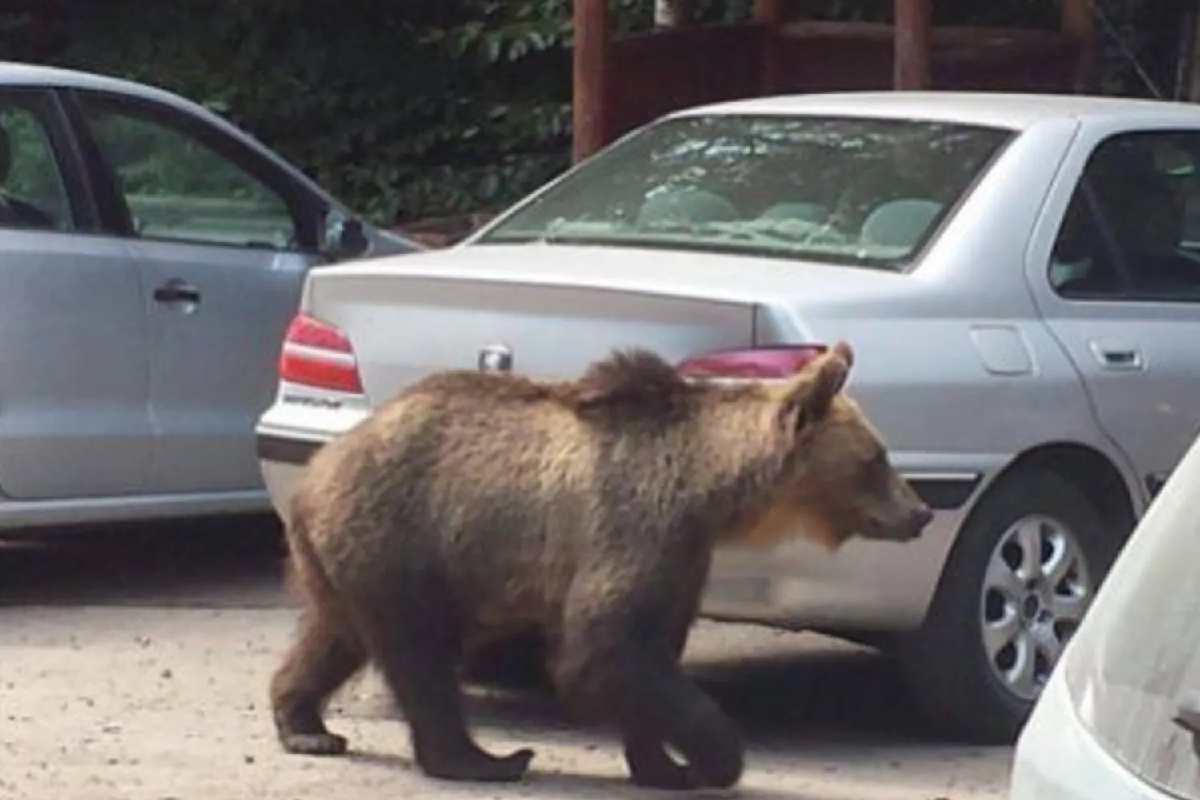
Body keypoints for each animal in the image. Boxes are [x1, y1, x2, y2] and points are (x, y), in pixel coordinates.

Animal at [270, 340, 926, 791]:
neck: (709, 489)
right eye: (877, 457)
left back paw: (305, 723)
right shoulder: (633, 525)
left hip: (352, 557)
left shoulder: (683, 555)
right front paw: (713, 759)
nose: (918, 511)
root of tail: (324, 463)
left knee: (336, 635)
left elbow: (646, 653)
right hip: (406, 540)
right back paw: (485, 758)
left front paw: (662, 765)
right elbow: (604, 649)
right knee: (420, 654)